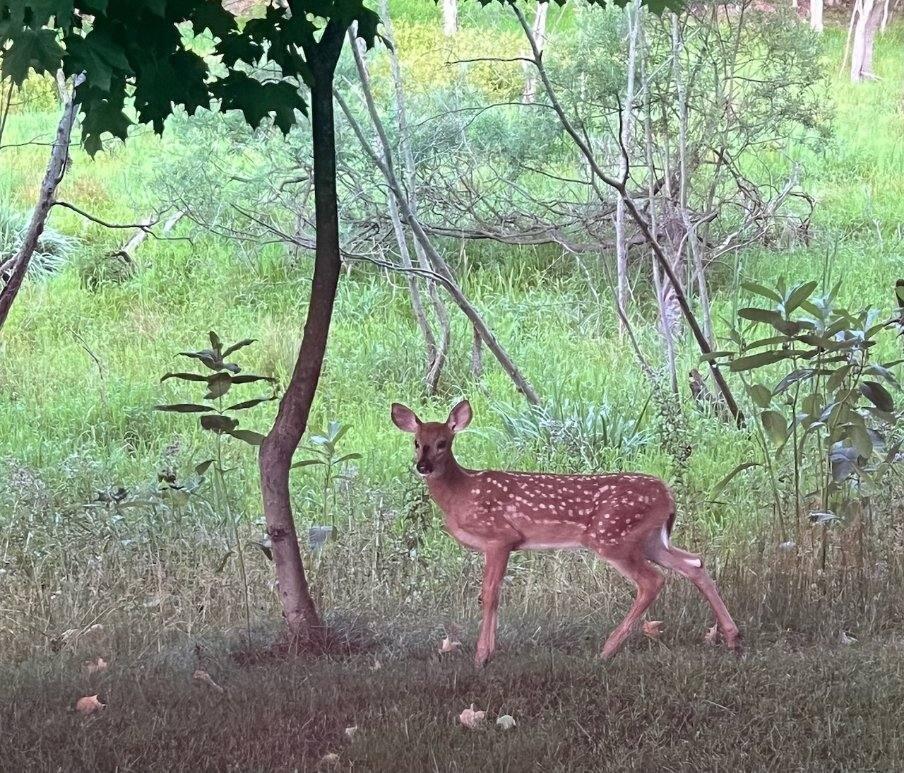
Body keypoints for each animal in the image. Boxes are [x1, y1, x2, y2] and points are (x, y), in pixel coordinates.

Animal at [390, 402, 740, 668]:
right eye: (416, 442)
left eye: (443, 443)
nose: (422, 466)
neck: (462, 493)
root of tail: (668, 495)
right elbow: (492, 594)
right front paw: (487, 652)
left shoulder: (500, 537)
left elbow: (489, 595)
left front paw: (482, 656)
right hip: (651, 539)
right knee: (694, 563)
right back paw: (733, 637)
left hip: (611, 536)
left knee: (652, 580)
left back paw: (608, 649)